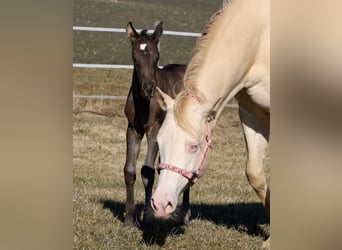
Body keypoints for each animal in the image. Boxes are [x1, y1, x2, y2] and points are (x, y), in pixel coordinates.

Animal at [124, 21, 191, 227]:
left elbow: (147, 171)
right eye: (134, 58)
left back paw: (186, 215)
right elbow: (129, 170)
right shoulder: (133, 129)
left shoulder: (154, 130)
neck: (144, 103)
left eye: (156, 57)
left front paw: (148, 216)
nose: (148, 88)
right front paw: (129, 218)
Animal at [151, 0, 272, 248]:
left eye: (194, 146)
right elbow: (255, 173)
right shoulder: (252, 115)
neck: (261, 40)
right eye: (159, 141)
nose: (160, 203)